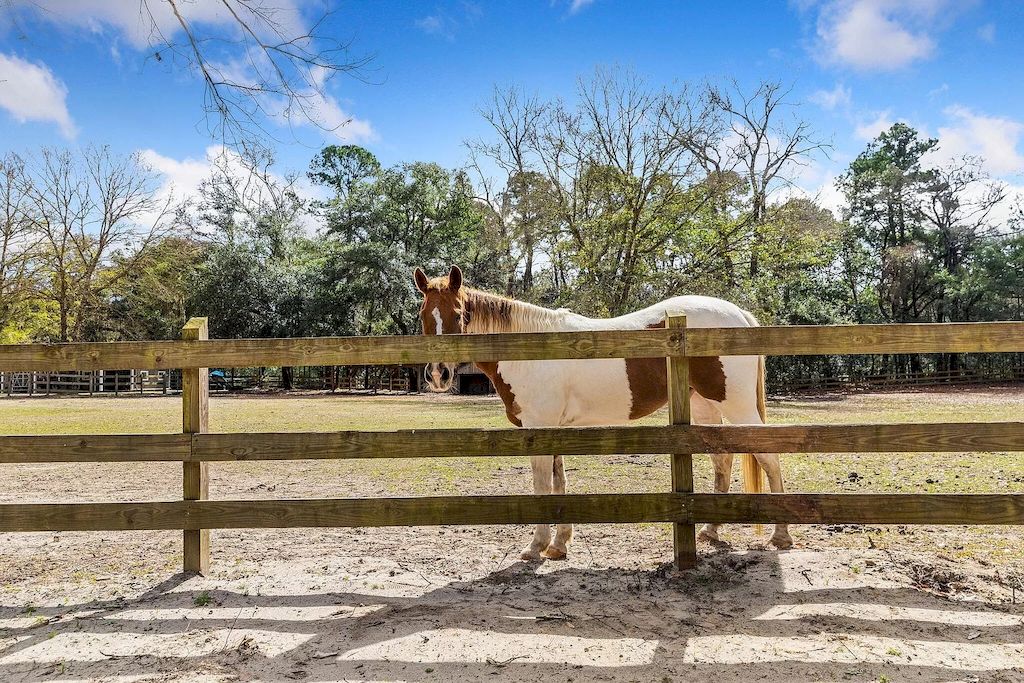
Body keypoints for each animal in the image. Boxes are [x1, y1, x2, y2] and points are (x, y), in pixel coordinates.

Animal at [411, 264, 786, 561]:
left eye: (458, 313)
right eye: (423, 315)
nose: (439, 374)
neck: (529, 349)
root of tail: (740, 316)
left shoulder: (539, 428)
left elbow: (542, 485)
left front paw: (536, 546)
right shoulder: (553, 429)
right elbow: (559, 482)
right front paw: (559, 545)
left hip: (737, 406)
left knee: (769, 458)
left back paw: (780, 535)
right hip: (704, 406)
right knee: (722, 460)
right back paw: (710, 530)